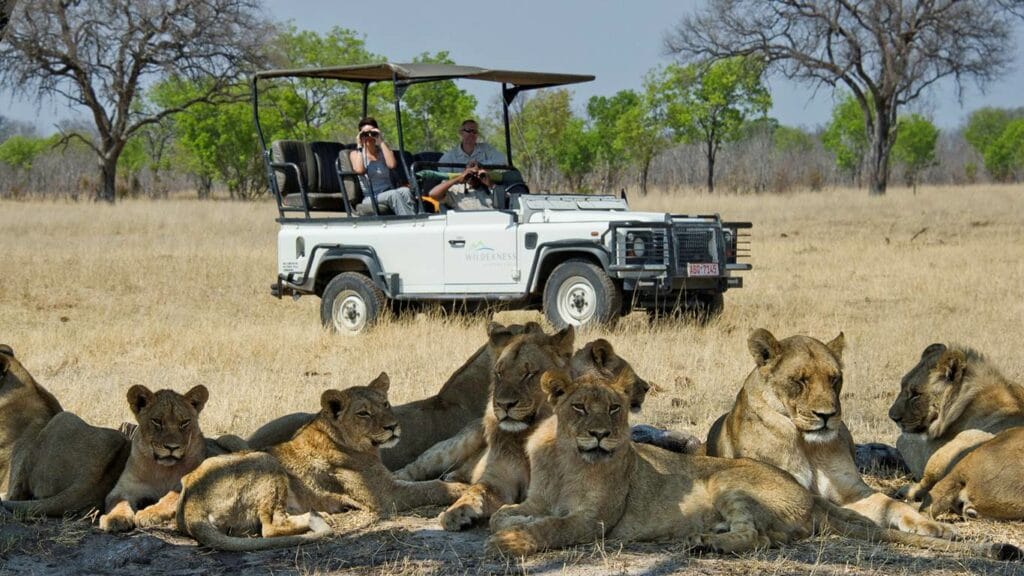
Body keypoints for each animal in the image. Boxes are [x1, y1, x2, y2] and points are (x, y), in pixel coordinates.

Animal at [178, 373, 468, 553]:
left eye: (386, 404)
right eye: (363, 413)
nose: (393, 426)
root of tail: (192, 503)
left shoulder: (390, 481)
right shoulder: (386, 497)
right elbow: (430, 487)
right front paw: (461, 489)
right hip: (265, 460)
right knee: (270, 527)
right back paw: (319, 517)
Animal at [483, 366, 1019, 557]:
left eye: (613, 409)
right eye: (579, 408)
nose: (601, 433)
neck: (565, 457)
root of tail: (808, 495)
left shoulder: (595, 519)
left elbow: (552, 528)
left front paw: (513, 541)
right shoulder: (539, 499)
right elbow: (506, 511)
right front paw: (508, 523)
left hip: (729, 484)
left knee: (759, 537)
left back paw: (706, 542)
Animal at [704, 327, 950, 537]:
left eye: (834, 379)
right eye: (800, 380)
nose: (827, 415)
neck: (807, 444)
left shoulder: (853, 491)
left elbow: (891, 503)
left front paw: (933, 525)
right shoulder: (778, 482)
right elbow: (821, 502)